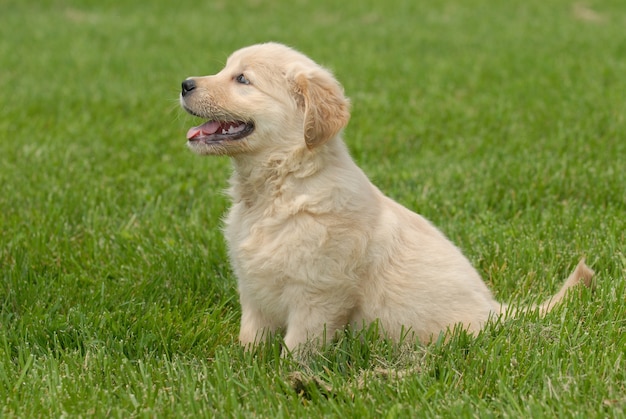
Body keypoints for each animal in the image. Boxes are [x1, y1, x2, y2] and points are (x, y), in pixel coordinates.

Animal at [178, 41, 592, 352]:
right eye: (226, 69)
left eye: (242, 79)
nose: (184, 83)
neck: (278, 187)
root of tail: (496, 311)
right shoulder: (253, 288)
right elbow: (250, 338)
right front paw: (244, 366)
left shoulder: (319, 294)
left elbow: (296, 348)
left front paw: (282, 381)